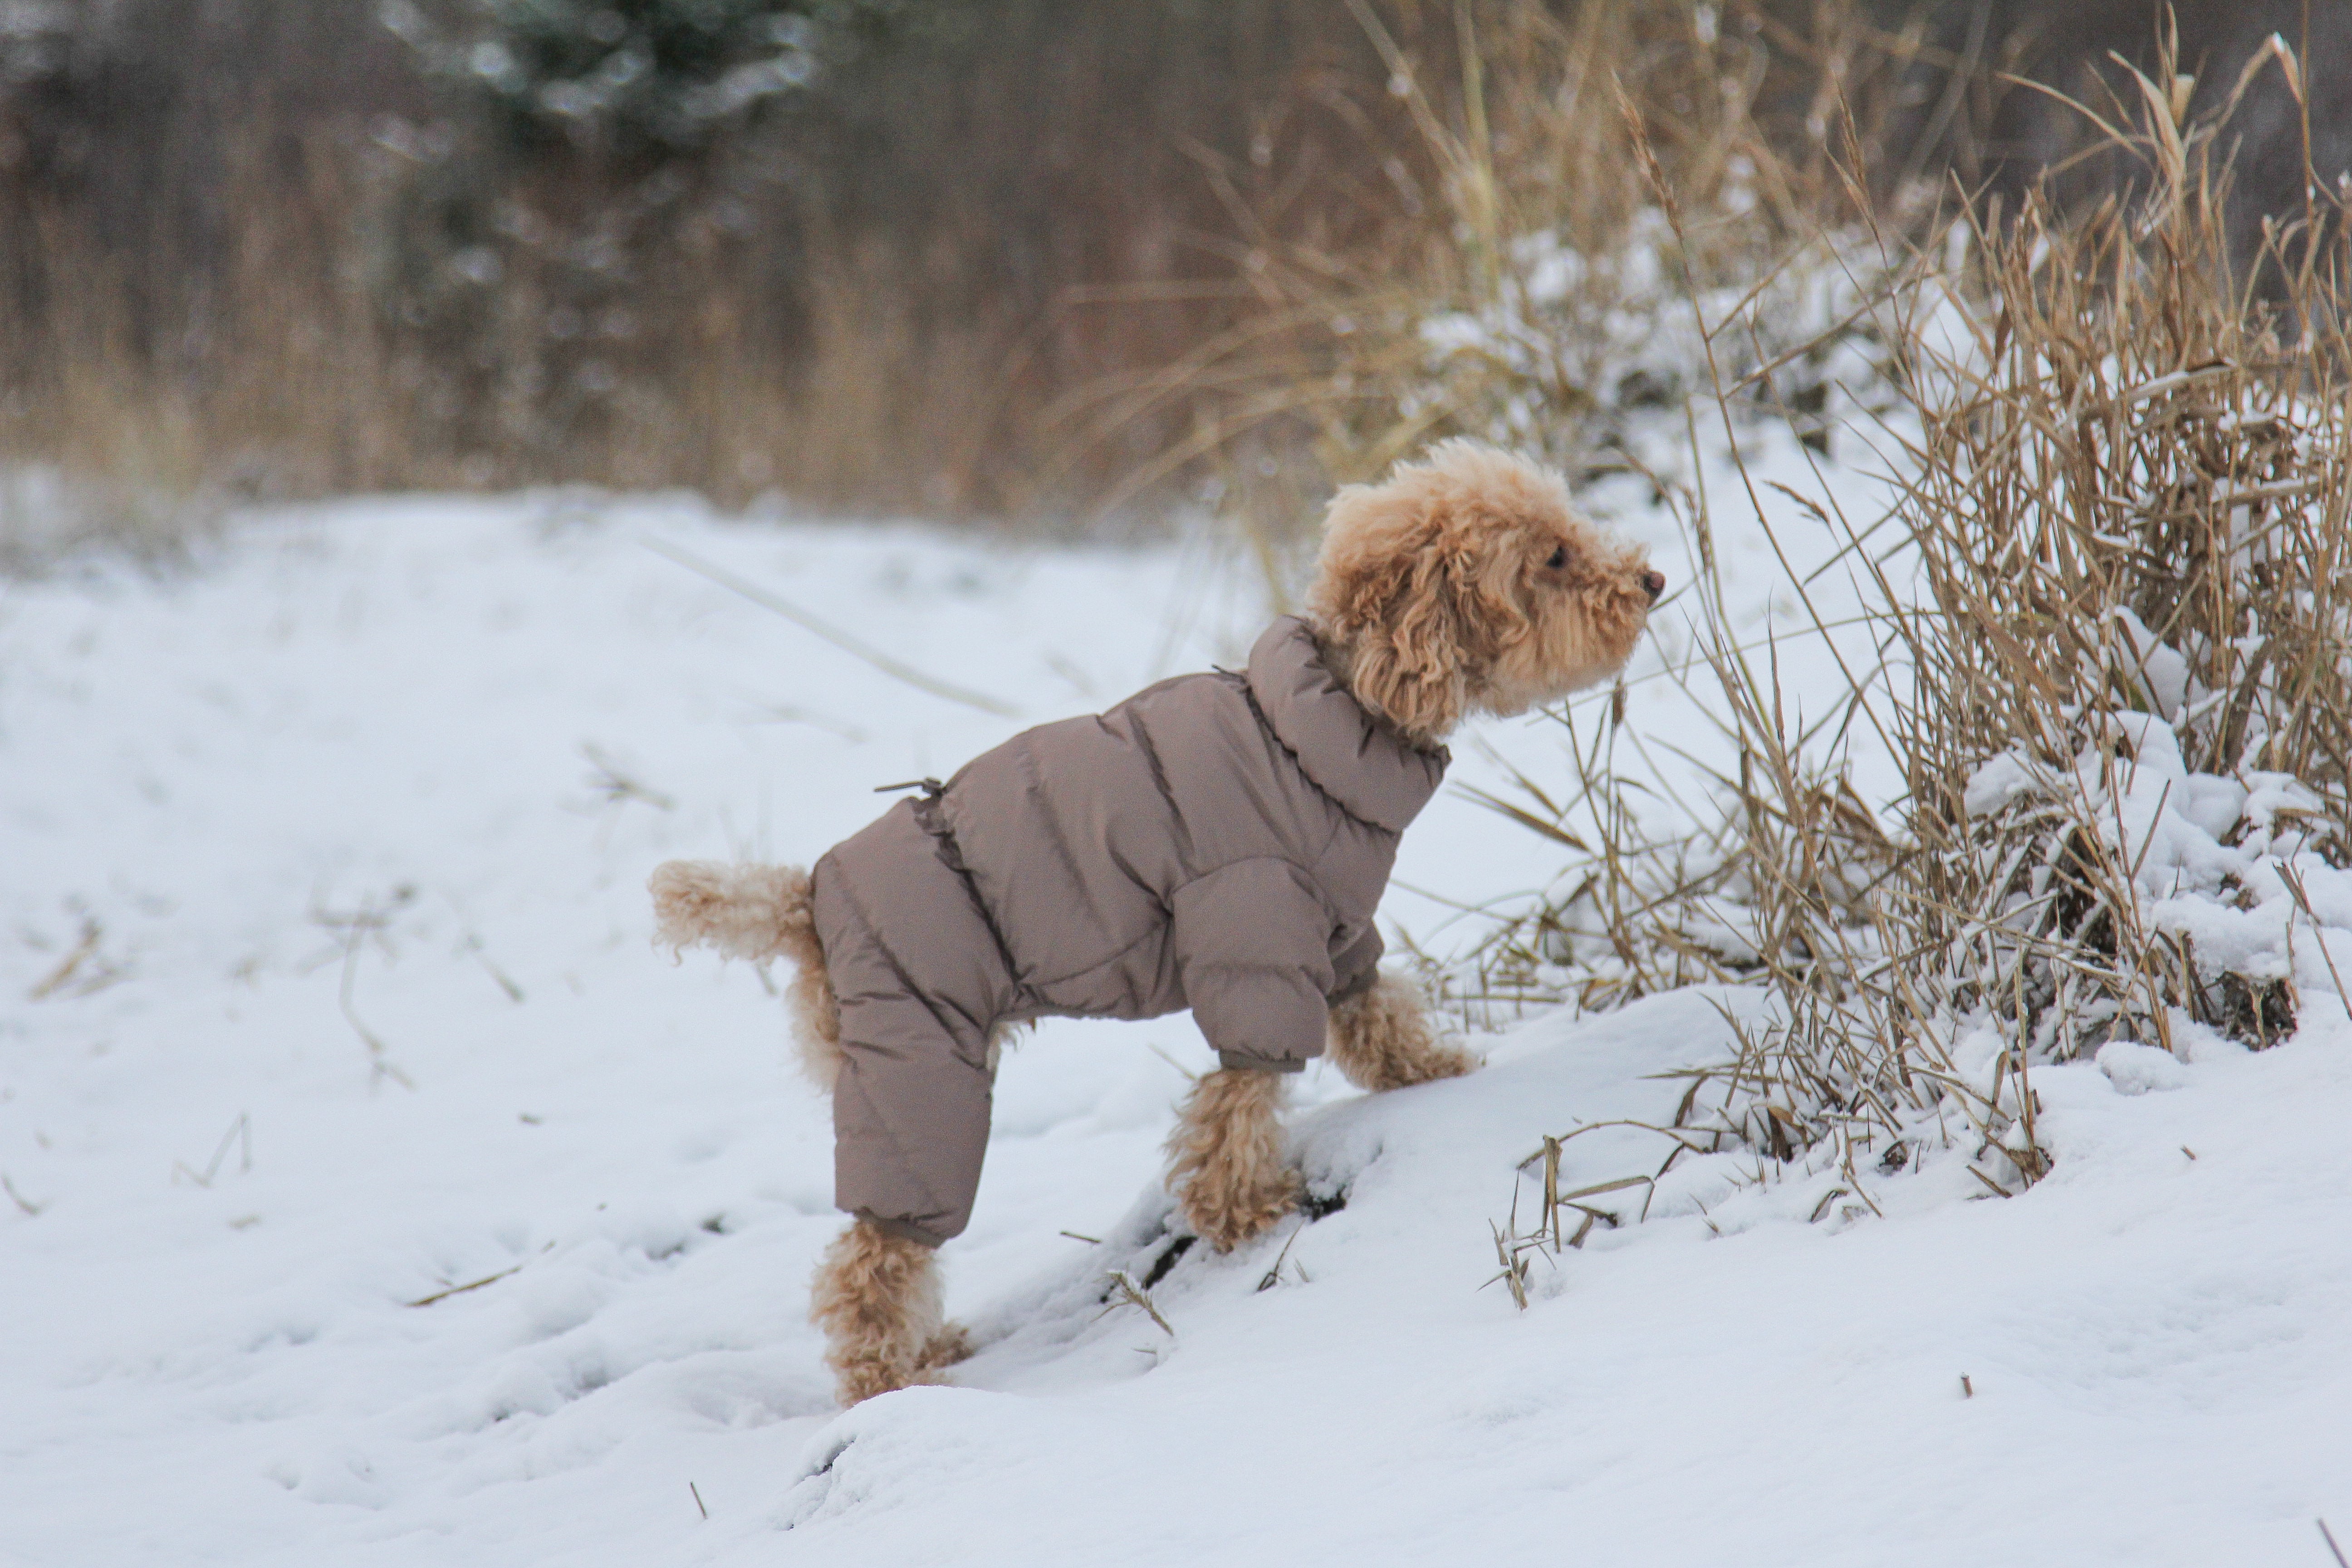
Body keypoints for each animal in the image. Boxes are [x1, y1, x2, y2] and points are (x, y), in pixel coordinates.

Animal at [654, 442, 1665, 1410]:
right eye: (1554, 556)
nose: (1652, 580)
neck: (1322, 725)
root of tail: (808, 897)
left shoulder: (1333, 929)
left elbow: (1375, 1013)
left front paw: (1431, 1073)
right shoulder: (1250, 927)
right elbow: (1239, 1097)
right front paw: (1245, 1212)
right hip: (917, 1068)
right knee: (872, 1260)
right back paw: (885, 1380)